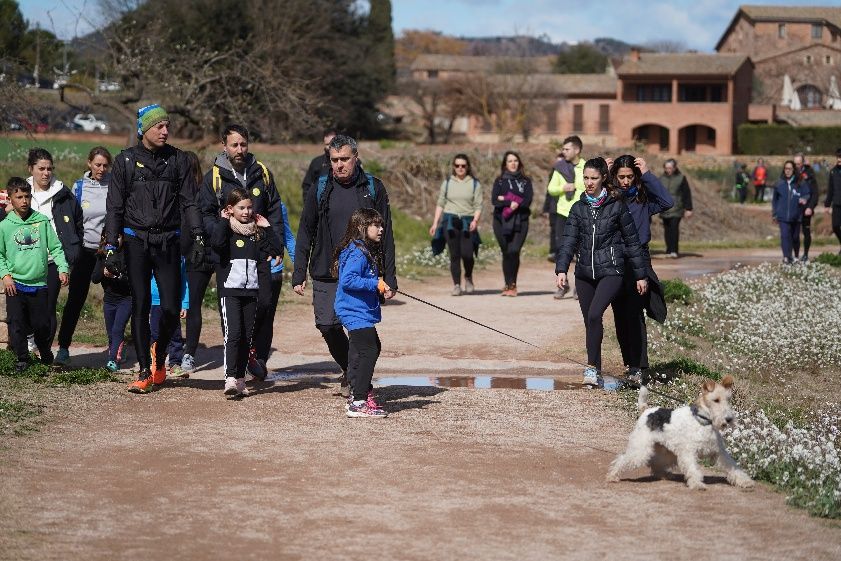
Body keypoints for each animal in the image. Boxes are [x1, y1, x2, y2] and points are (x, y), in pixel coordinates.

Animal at [608, 376, 752, 490]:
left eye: (729, 399)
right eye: (716, 400)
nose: (729, 419)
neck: (703, 421)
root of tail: (646, 410)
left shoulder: (718, 452)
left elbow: (733, 467)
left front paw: (746, 482)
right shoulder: (688, 452)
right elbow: (693, 469)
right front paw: (697, 484)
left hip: (666, 451)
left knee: (655, 463)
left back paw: (665, 475)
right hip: (640, 449)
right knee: (622, 459)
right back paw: (612, 476)